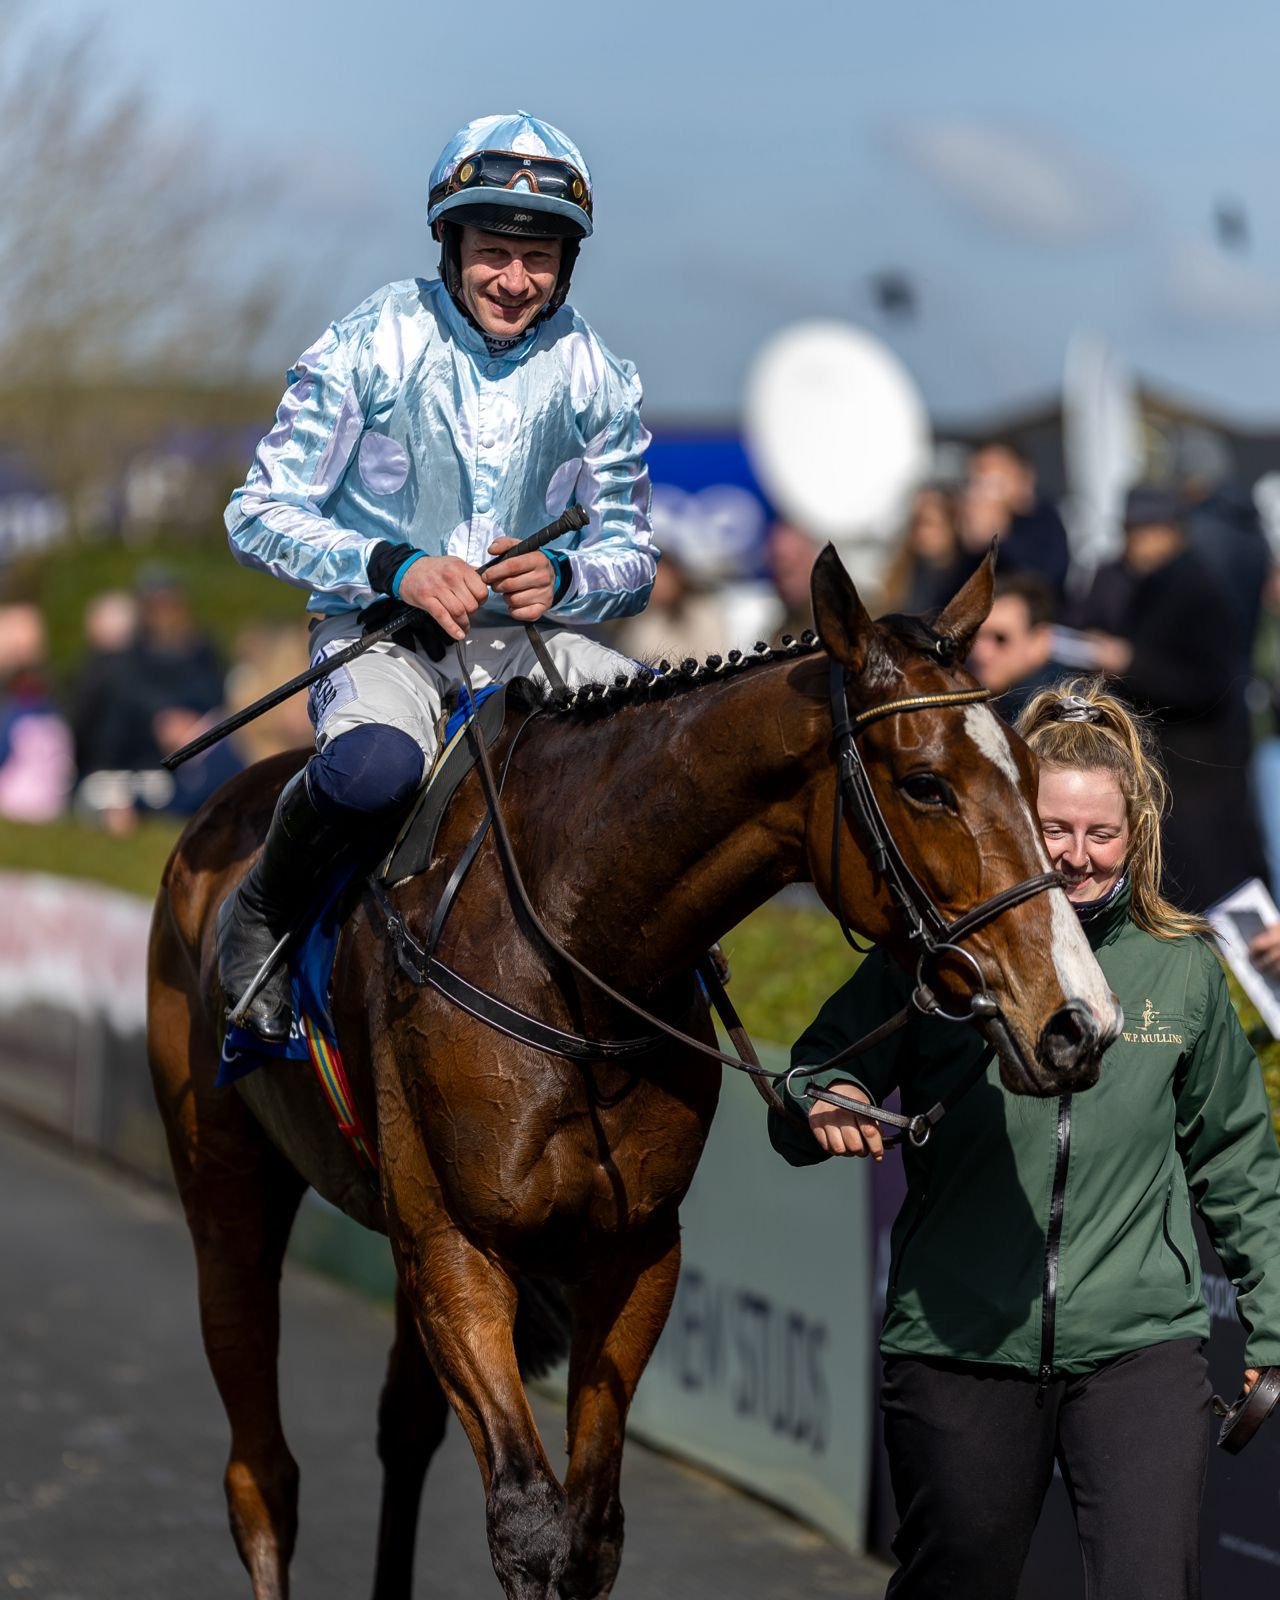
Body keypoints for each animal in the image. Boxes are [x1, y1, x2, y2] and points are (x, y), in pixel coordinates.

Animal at [146, 547, 1120, 1600]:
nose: (1076, 1022)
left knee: (402, 1433)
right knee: (261, 1475)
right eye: (927, 783)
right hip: (226, 1189)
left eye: (1033, 772)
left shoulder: (634, 1247)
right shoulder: (454, 1243)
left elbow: (591, 1531)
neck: (569, 957)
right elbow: (529, 1524)